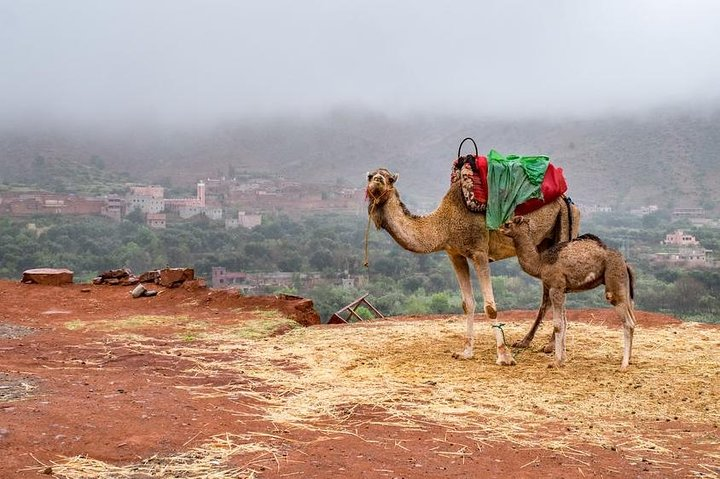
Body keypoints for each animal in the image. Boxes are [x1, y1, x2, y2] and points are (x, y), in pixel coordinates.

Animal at [366, 167, 580, 365]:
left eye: (389, 179)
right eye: (370, 176)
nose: (377, 181)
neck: (444, 223)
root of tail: (567, 200)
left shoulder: (479, 252)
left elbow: (490, 307)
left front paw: (504, 356)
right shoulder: (455, 254)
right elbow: (467, 304)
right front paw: (466, 352)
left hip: (565, 228)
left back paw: (551, 346)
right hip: (543, 242)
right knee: (547, 294)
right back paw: (526, 341)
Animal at [500, 216, 636, 369]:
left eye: (508, 224)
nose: (499, 228)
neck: (540, 263)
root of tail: (625, 262)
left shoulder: (556, 287)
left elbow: (558, 325)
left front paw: (556, 362)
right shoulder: (563, 289)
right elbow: (564, 323)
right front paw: (562, 359)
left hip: (614, 278)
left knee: (628, 322)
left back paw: (623, 365)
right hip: (624, 285)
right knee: (633, 318)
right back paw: (629, 359)